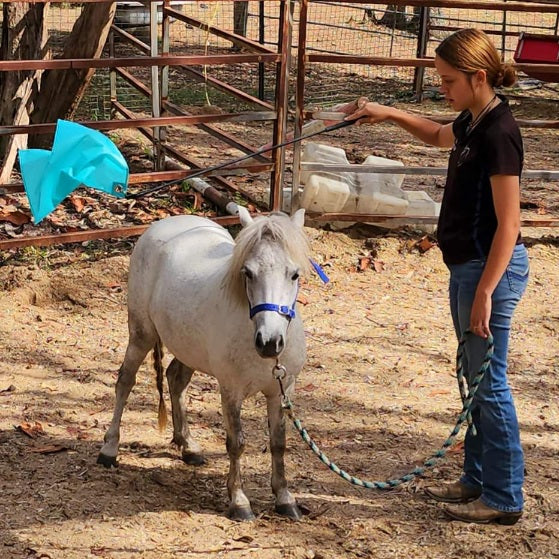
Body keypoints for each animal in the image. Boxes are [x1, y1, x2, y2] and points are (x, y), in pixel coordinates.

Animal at [99, 207, 312, 520]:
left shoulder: (281, 391)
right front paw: (239, 502)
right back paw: (109, 449)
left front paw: (285, 498)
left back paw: (188, 446)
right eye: (248, 273)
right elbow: (236, 443)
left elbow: (278, 443)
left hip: (187, 348)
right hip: (141, 335)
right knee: (125, 382)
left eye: (294, 274)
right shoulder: (231, 391)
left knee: (175, 380)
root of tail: (167, 222)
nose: (269, 342)